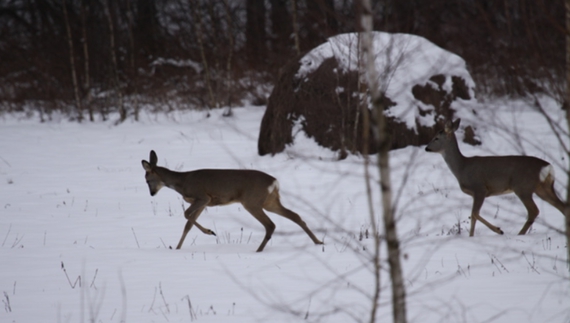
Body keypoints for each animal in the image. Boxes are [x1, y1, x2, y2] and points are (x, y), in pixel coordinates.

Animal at [140, 151, 322, 252]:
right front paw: (177, 249)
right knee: (295, 216)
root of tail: (275, 182)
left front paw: (210, 232)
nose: (152, 194)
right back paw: (318, 242)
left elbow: (186, 215)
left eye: (147, 180)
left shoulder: (203, 196)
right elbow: (188, 225)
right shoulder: (203, 202)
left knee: (270, 224)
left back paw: (258, 251)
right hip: (270, 202)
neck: (182, 182)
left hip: (251, 201)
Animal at [422, 120, 564, 237]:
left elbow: (474, 213)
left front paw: (498, 230)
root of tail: (548, 167)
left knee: (534, 211)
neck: (462, 168)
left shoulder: (480, 188)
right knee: (563, 207)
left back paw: (519, 234)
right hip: (543, 188)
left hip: (523, 187)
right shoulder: (476, 193)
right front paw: (471, 237)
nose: (426, 148)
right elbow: (473, 215)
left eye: (436, 138)